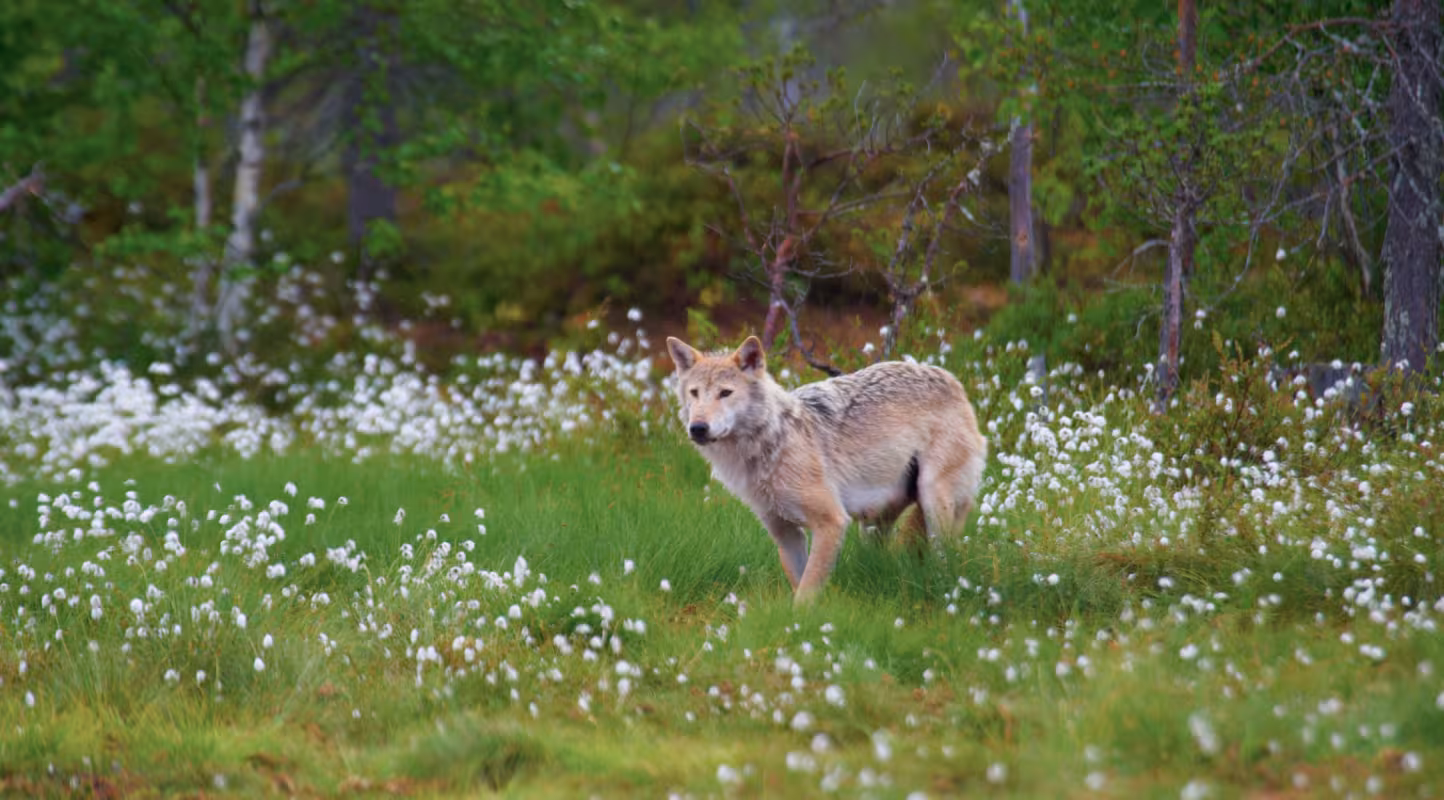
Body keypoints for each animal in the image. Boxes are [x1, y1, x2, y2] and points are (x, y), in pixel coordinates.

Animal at [665, 335, 987, 603]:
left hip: (933, 502)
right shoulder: (785, 533)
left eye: (725, 393)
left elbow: (807, 593)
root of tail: (952, 380)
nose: (698, 428)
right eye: (694, 393)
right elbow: (799, 582)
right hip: (874, 524)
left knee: (945, 559)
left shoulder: (831, 521)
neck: (769, 446)